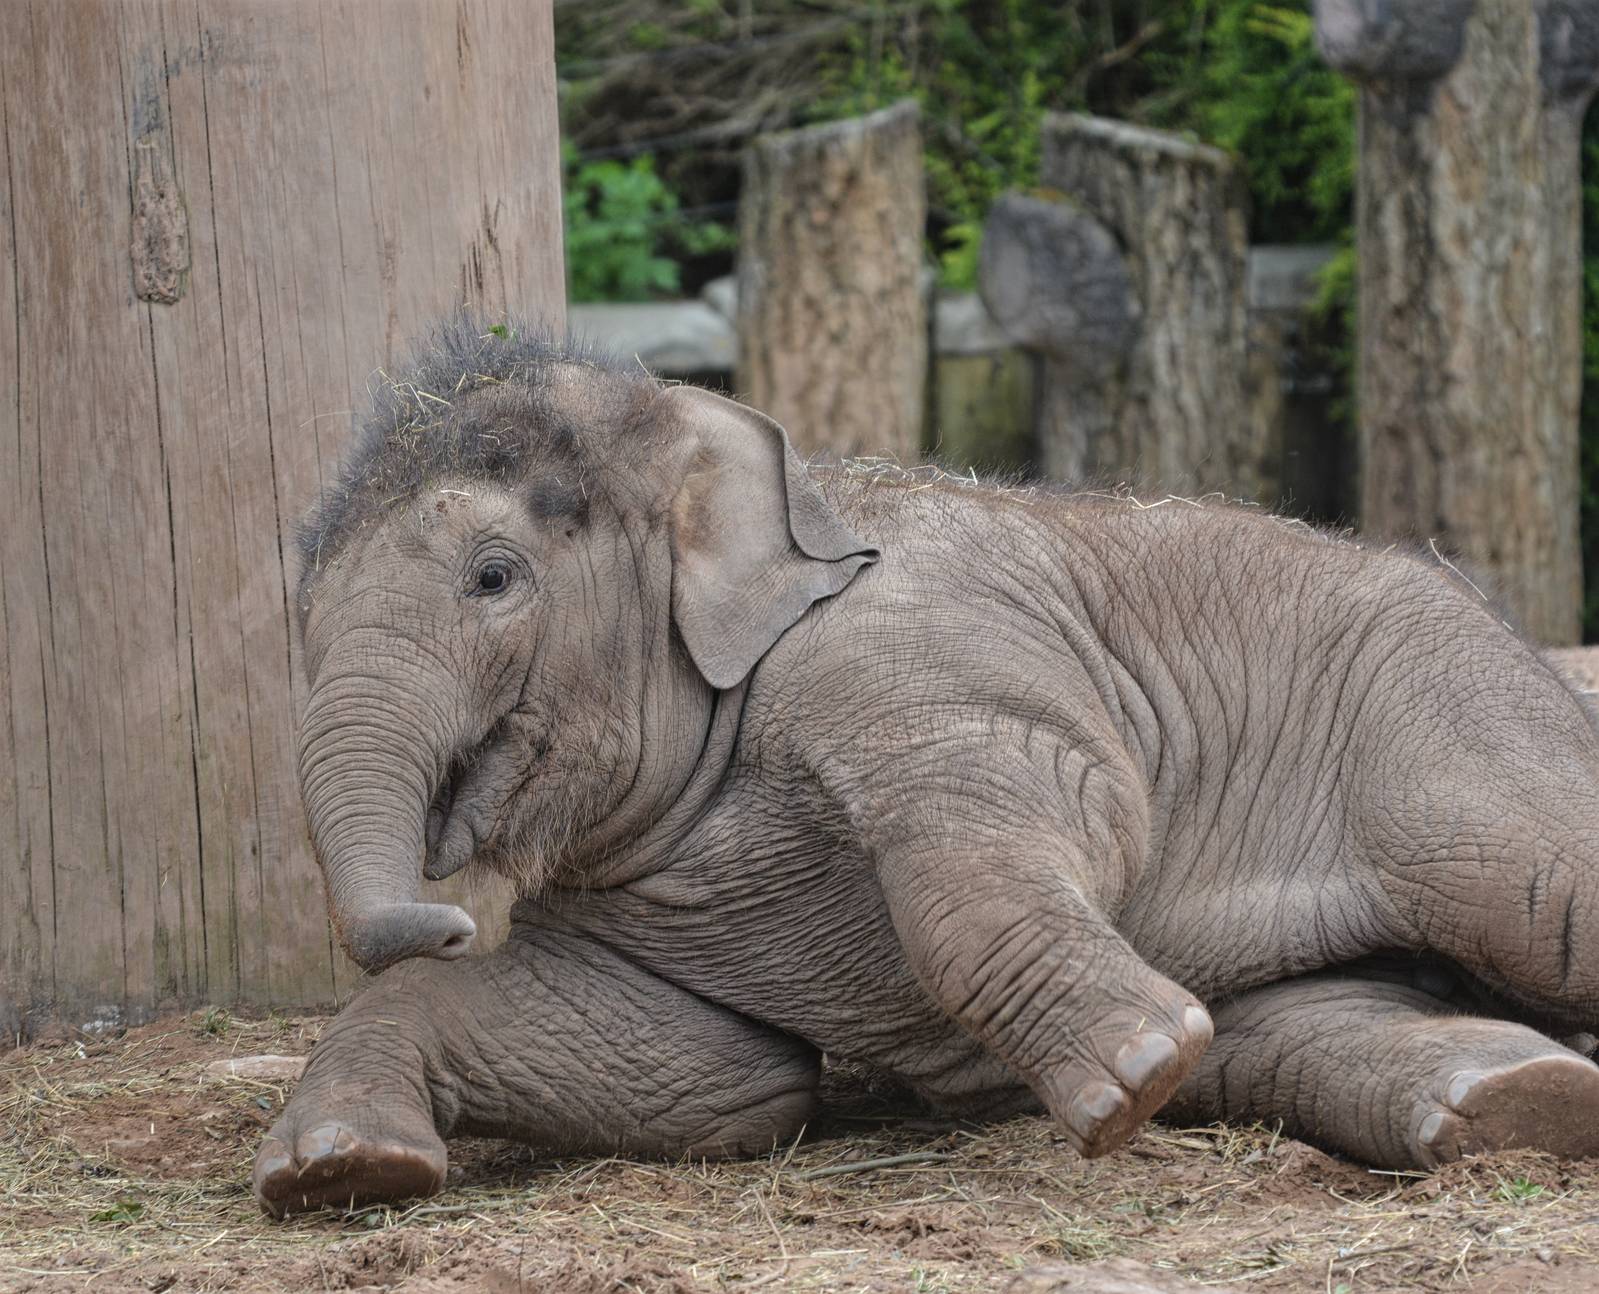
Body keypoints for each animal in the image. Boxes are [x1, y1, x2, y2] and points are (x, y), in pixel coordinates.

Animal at [255, 321, 1599, 1217]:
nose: (441, 914)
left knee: (1540, 888)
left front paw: (1138, 1074)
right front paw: (332, 1173)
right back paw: (1518, 1097)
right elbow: (710, 1075)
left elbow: (1063, 810)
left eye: (494, 575)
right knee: (1309, 1025)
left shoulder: (921, 648)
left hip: (1447, 731)